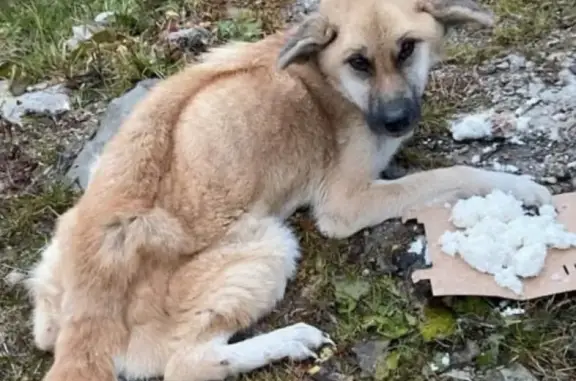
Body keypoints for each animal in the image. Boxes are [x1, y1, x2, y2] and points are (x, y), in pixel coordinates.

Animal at [24, 0, 552, 380]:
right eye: (358, 62)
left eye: (408, 48)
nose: (397, 121)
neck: (324, 79)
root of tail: (93, 292)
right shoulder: (347, 203)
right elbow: (448, 175)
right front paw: (518, 186)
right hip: (269, 245)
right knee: (186, 364)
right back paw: (287, 340)